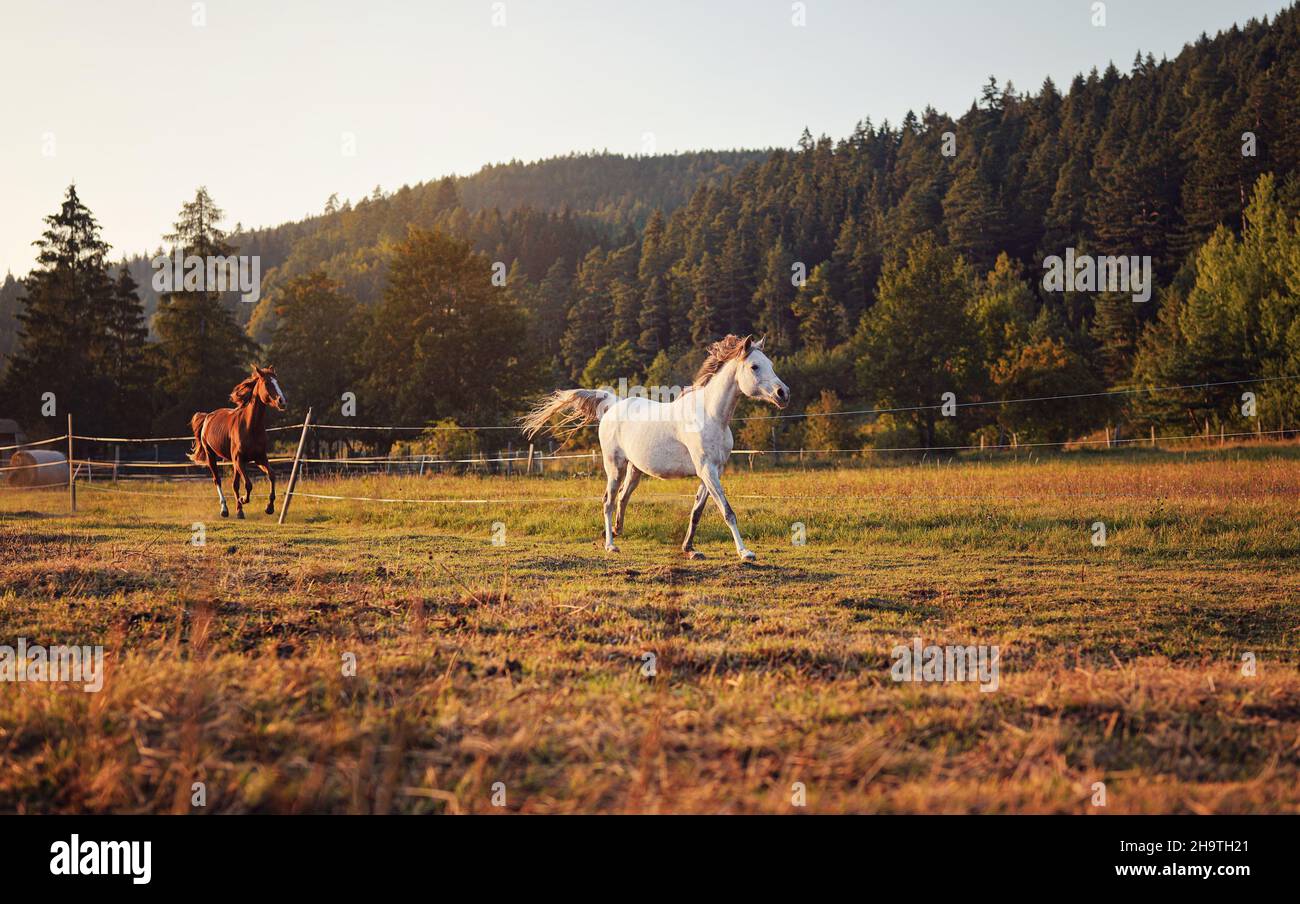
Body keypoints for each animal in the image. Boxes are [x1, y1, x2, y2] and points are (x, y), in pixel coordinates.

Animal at [188, 366, 287, 520]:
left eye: (277, 382)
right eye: (267, 383)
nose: (282, 401)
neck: (250, 426)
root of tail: (207, 417)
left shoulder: (259, 458)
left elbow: (272, 475)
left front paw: (269, 507)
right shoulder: (239, 459)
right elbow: (248, 484)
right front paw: (243, 499)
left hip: (235, 462)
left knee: (234, 484)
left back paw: (239, 511)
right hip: (212, 455)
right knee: (217, 480)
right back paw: (225, 510)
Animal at [520, 332, 785, 559]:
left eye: (771, 363)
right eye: (754, 366)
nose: (784, 393)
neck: (711, 415)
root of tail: (613, 404)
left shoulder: (712, 471)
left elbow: (697, 511)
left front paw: (690, 549)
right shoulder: (706, 469)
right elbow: (727, 511)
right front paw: (745, 552)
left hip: (635, 470)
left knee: (622, 498)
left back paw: (615, 531)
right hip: (614, 467)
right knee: (608, 500)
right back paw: (610, 545)